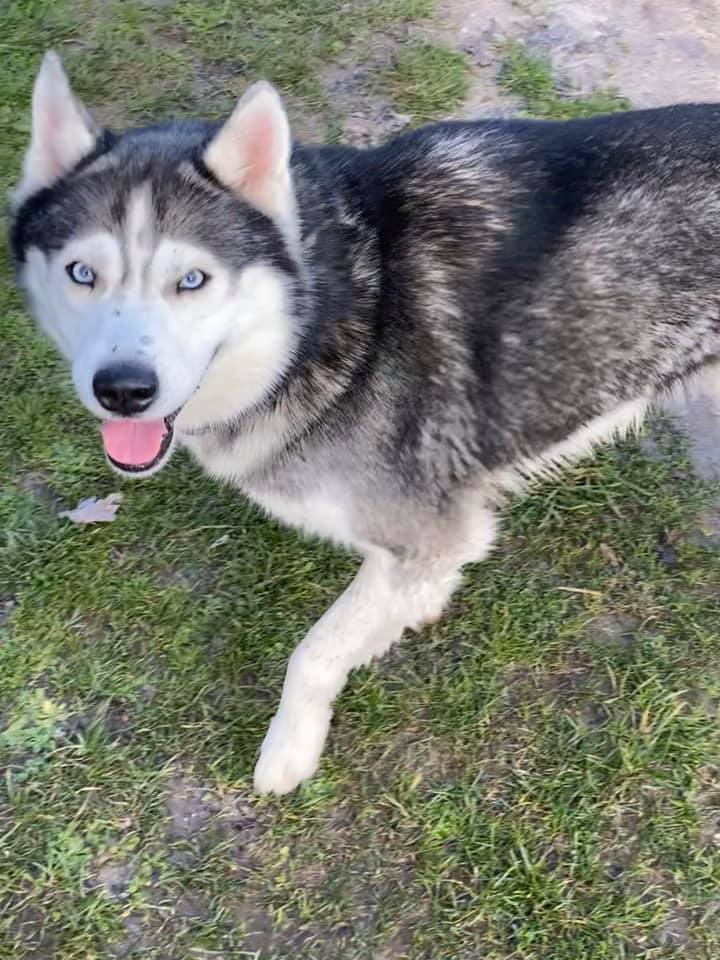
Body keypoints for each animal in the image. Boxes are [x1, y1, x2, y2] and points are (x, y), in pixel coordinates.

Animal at [11, 52, 720, 794]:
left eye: (193, 281)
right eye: (82, 274)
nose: (123, 390)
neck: (339, 307)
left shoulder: (428, 539)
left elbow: (314, 653)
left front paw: (289, 749)